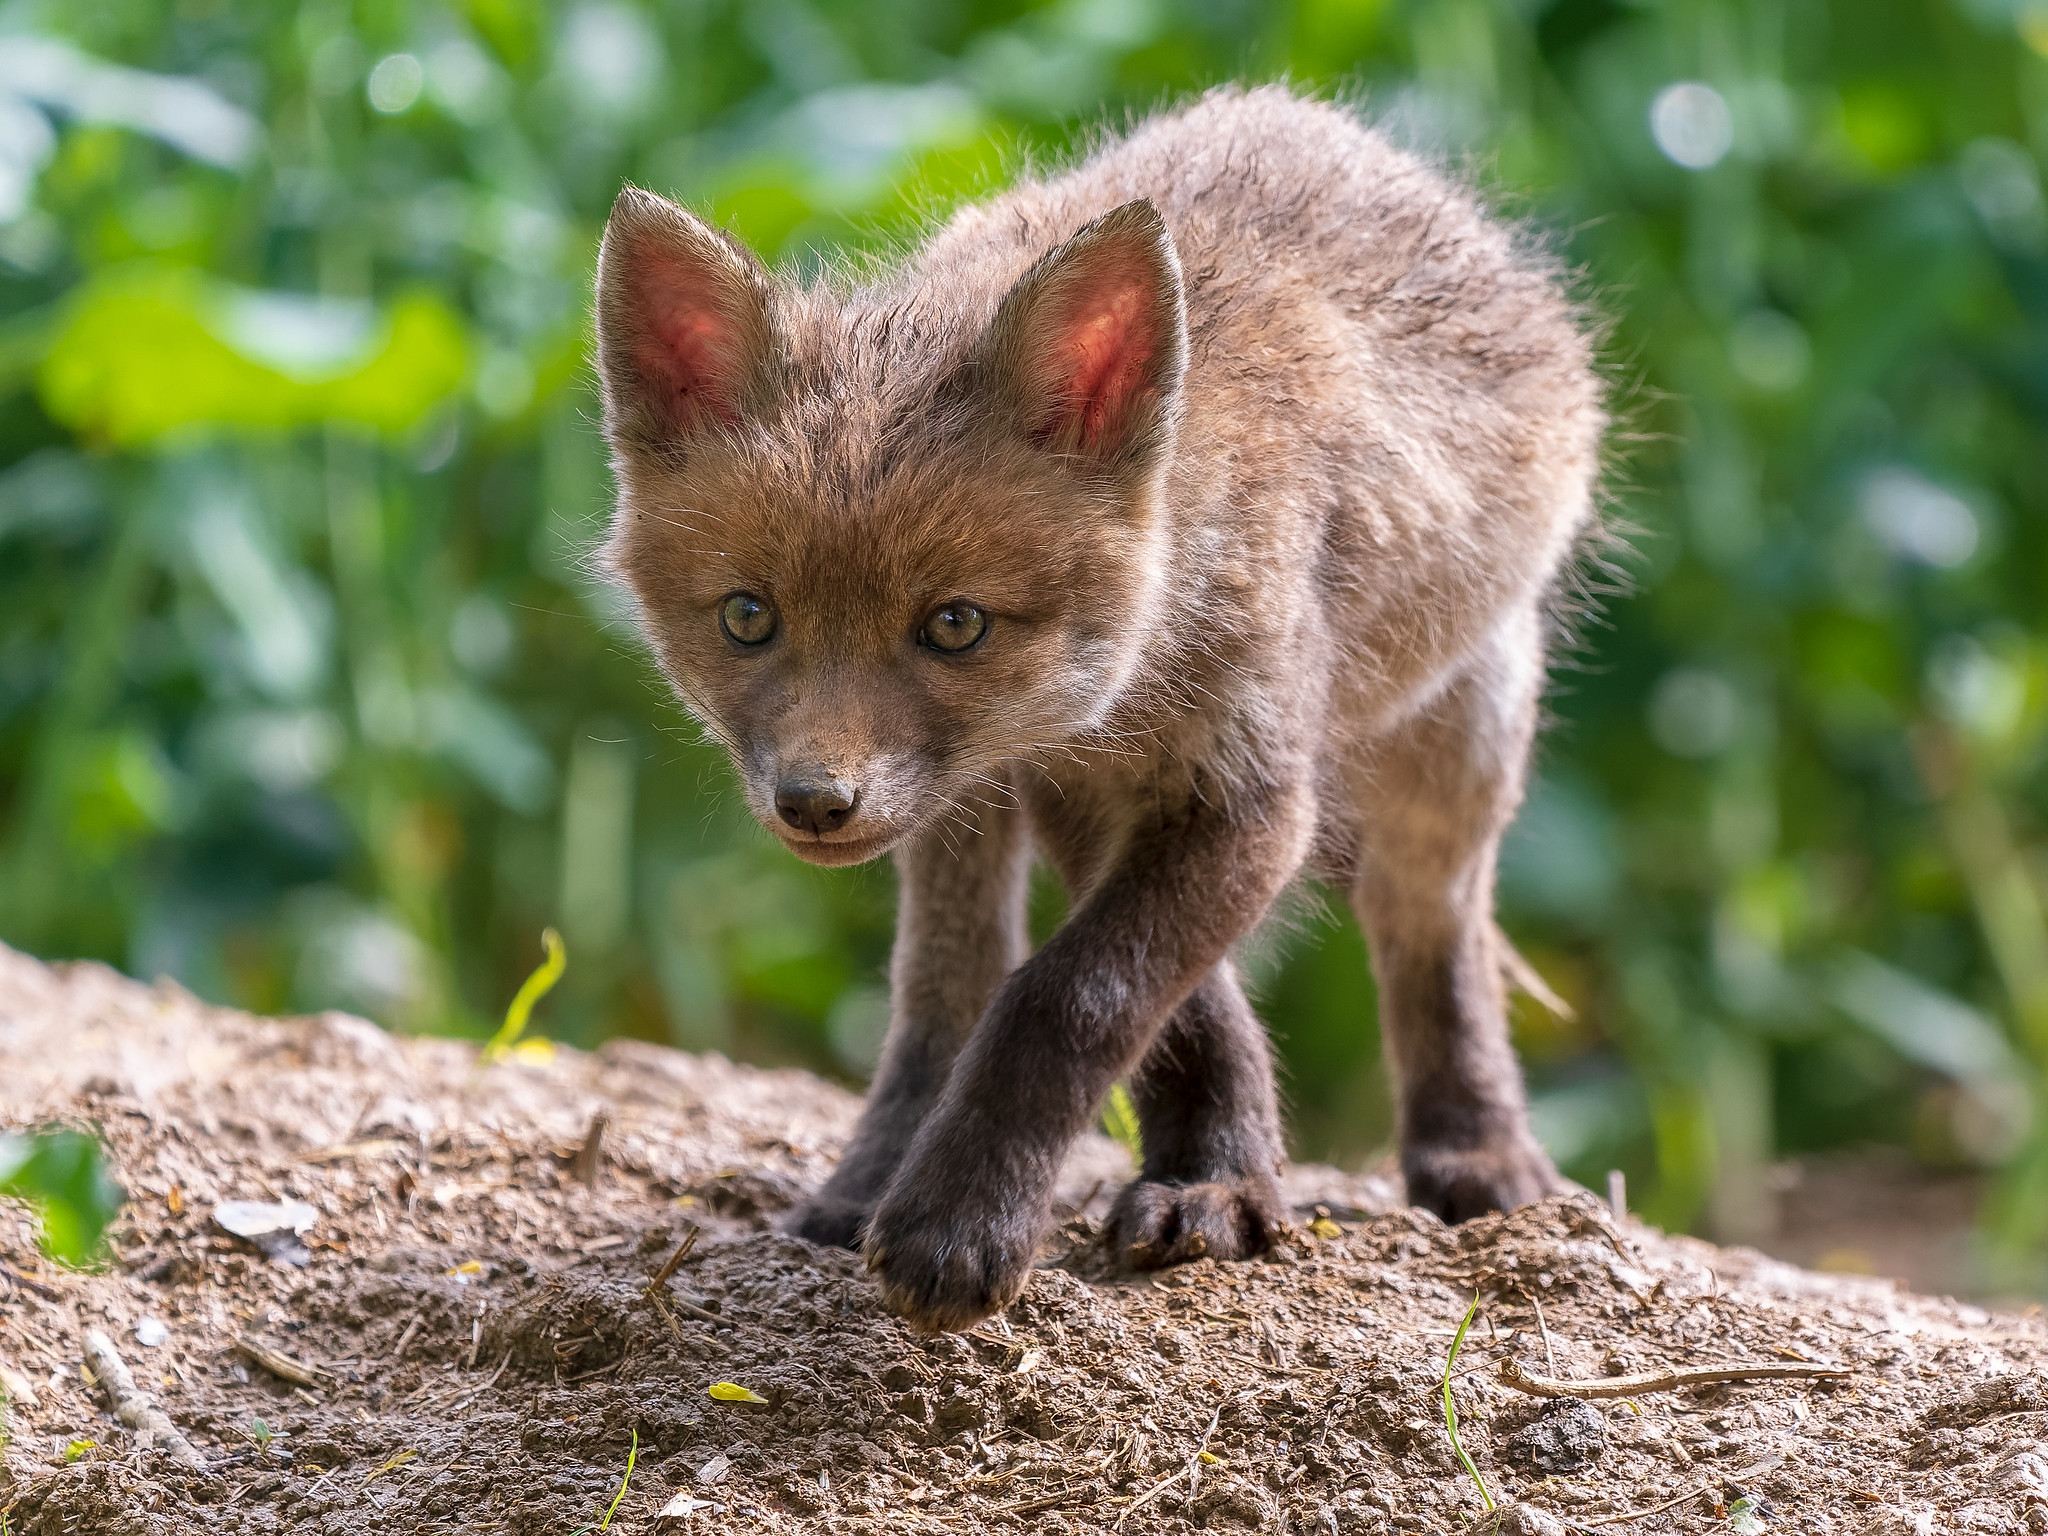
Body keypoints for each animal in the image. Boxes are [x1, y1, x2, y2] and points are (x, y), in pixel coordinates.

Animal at [593, 83, 1597, 1335]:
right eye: (745, 618)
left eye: (954, 626)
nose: (814, 803)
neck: (1158, 635)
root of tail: (1310, 116)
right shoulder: (1072, 778)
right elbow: (1166, 1008)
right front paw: (1212, 1174)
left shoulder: (1245, 792)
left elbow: (1074, 994)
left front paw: (976, 1218)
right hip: (969, 817)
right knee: (941, 988)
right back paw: (867, 1177)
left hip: (1462, 730)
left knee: (1434, 930)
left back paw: (1477, 1152)